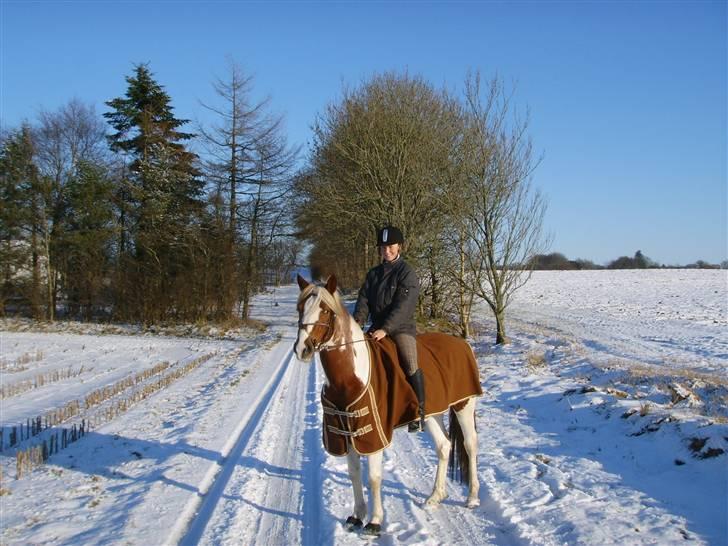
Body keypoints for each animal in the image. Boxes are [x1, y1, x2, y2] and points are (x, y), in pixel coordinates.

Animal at [292, 274, 480, 532]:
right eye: (300, 308)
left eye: (325, 311)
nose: (303, 349)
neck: (350, 377)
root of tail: (462, 343)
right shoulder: (346, 432)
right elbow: (354, 473)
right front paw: (357, 516)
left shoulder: (372, 434)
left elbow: (373, 478)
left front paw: (375, 521)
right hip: (433, 413)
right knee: (444, 446)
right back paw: (435, 497)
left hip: (464, 405)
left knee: (470, 445)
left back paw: (472, 497)